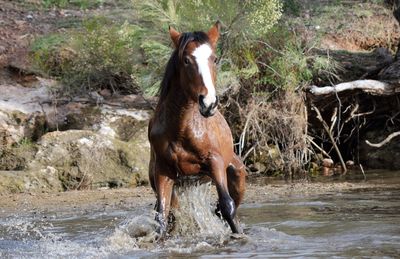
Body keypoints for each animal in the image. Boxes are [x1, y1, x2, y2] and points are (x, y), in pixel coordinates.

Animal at [148, 21, 245, 238]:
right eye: (186, 60)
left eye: (214, 59)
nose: (208, 103)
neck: (181, 128)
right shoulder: (163, 171)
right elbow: (162, 216)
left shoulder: (215, 162)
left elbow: (228, 206)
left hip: (236, 175)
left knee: (226, 206)